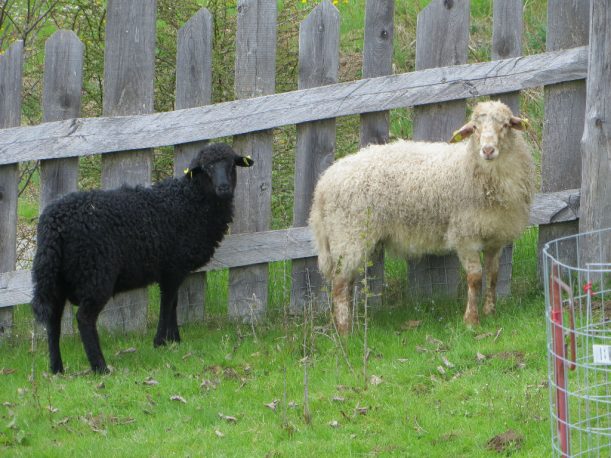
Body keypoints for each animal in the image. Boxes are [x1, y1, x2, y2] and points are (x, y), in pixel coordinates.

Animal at [30, 142, 256, 372]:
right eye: (207, 167)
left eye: (231, 165)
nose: (223, 188)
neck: (190, 201)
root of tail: (53, 223)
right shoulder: (173, 266)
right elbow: (167, 303)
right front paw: (161, 341)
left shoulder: (172, 269)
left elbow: (173, 302)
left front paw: (175, 339)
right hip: (95, 274)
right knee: (84, 318)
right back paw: (100, 367)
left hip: (56, 277)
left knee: (53, 320)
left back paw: (56, 368)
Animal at [310, 100, 536, 332]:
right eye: (474, 128)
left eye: (506, 125)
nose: (488, 150)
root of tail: (324, 184)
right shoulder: (465, 235)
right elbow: (475, 278)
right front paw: (471, 320)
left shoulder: (495, 237)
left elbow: (493, 275)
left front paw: (490, 312)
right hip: (349, 234)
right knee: (339, 283)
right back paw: (345, 331)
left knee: (347, 281)